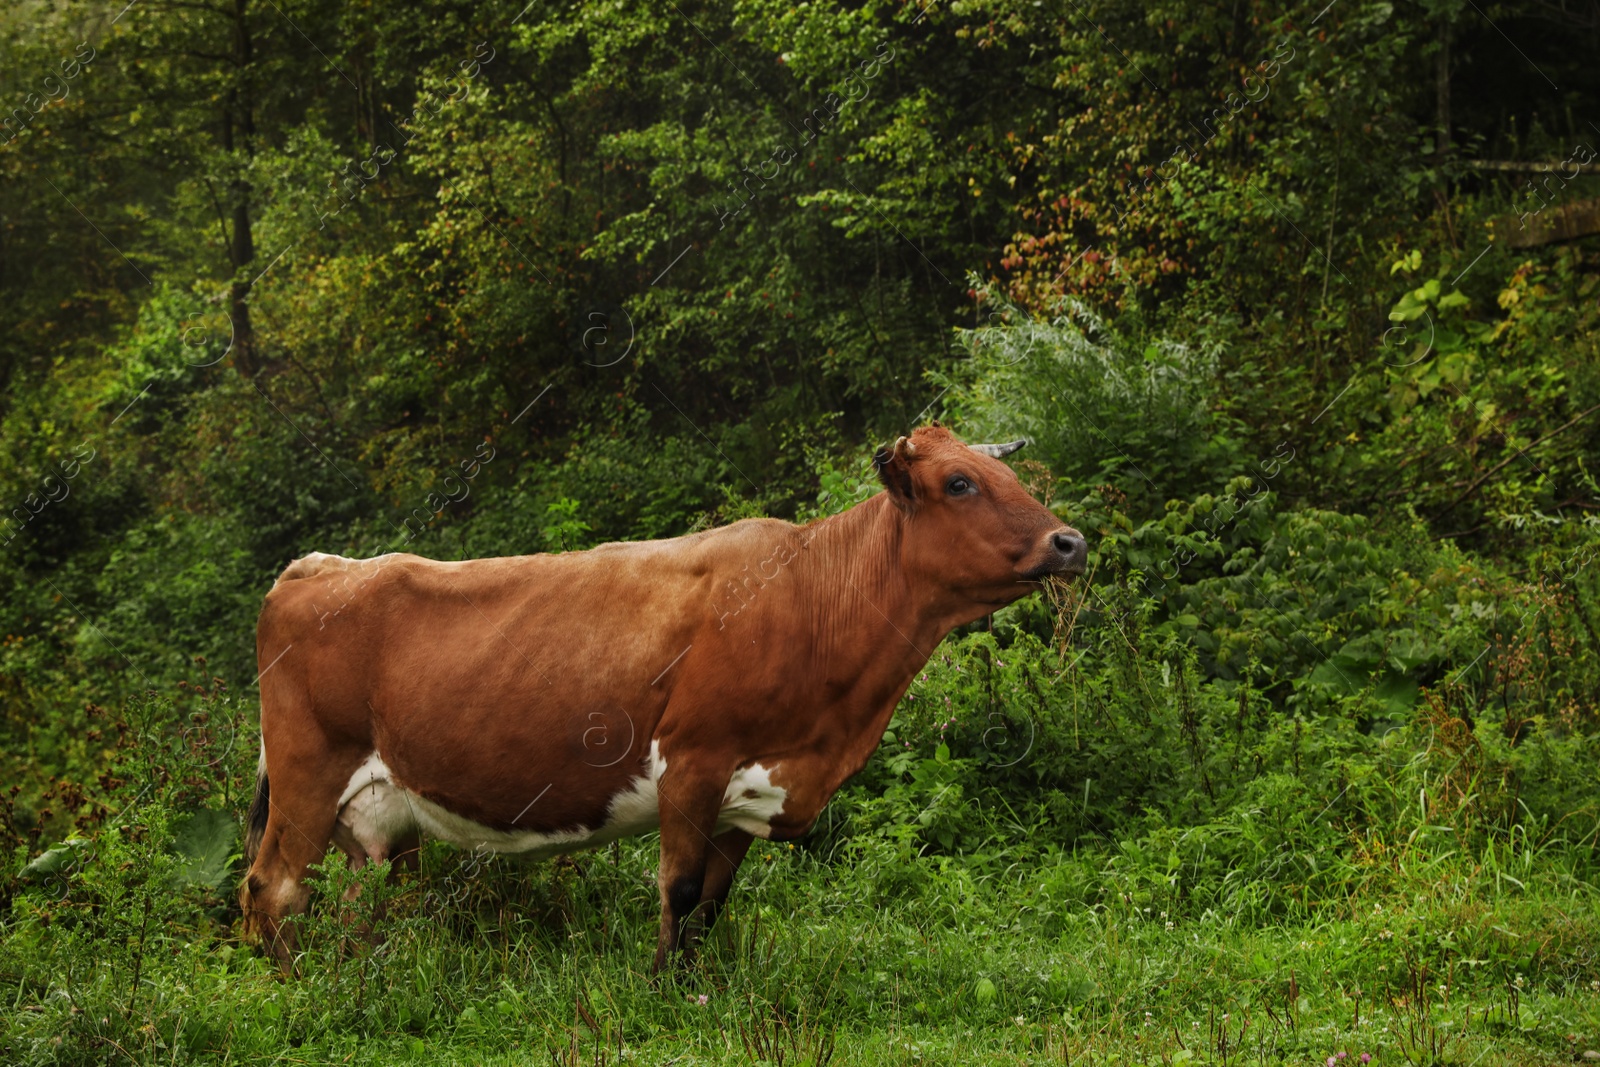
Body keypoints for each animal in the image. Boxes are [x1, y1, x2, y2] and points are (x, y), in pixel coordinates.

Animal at [240, 422, 1088, 966]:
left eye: (1015, 477)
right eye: (960, 482)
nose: (1071, 541)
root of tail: (321, 564)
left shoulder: (753, 789)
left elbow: (712, 903)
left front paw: (694, 987)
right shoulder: (694, 760)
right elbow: (678, 890)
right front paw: (658, 991)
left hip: (375, 808)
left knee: (356, 893)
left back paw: (364, 974)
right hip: (307, 770)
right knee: (272, 888)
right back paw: (293, 989)